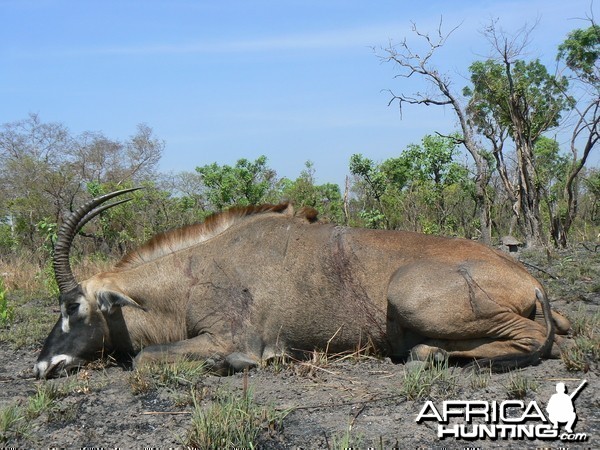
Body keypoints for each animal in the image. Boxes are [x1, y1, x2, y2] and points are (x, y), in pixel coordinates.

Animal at [34, 188, 572, 378]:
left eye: (73, 307)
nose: (42, 366)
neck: (191, 273)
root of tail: (530, 280)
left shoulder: (230, 337)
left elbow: (144, 357)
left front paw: (228, 365)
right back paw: (430, 352)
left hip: (409, 296)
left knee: (537, 341)